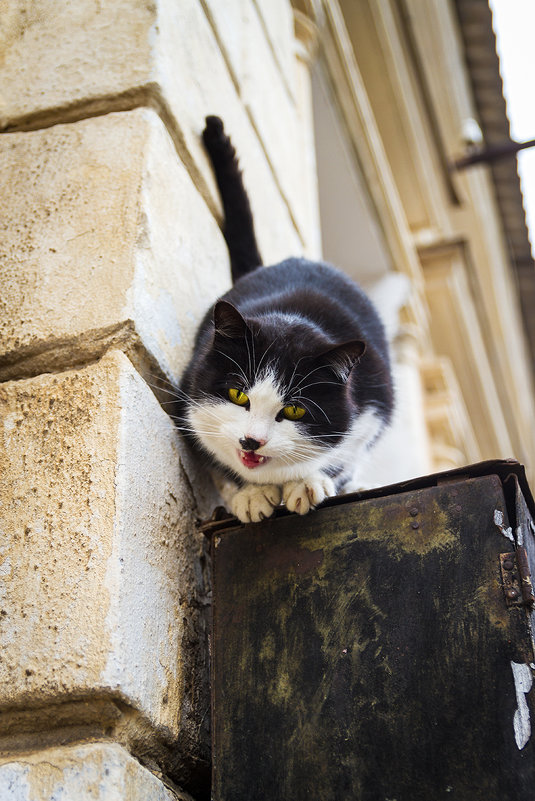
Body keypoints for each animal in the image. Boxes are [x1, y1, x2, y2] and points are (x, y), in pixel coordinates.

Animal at [178, 115, 396, 520]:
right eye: (237, 394)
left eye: (294, 410)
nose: (251, 440)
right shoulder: (187, 387)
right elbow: (214, 459)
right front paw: (248, 493)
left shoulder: (374, 408)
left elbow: (345, 454)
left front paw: (307, 482)